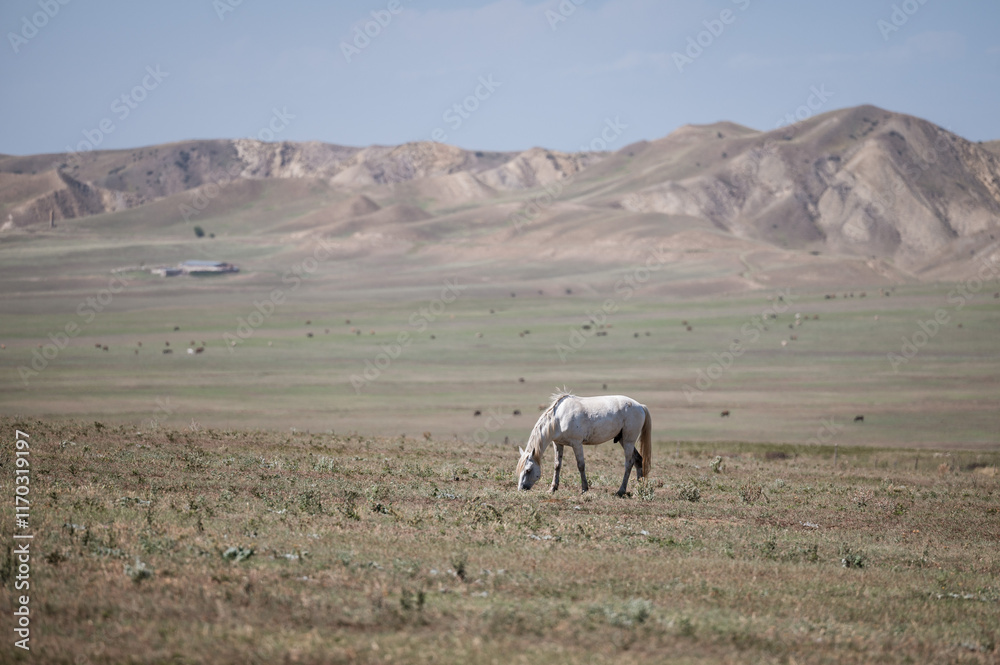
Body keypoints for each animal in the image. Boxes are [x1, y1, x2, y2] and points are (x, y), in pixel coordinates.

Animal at [516, 392, 651, 497]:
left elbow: (581, 465)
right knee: (638, 459)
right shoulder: (558, 444)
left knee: (629, 463)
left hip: (628, 441)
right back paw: (640, 488)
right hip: (623, 440)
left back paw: (621, 491)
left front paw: (584, 489)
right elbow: (557, 465)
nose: (521, 489)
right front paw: (553, 488)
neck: (559, 418)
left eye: (528, 470)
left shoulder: (577, 444)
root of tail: (640, 406)